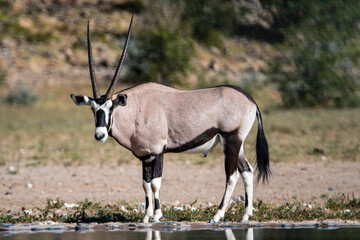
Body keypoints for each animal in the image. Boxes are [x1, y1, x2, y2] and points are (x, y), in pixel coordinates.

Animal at [70, 15, 268, 223]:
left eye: (110, 108)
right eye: (93, 109)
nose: (99, 135)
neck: (136, 109)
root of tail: (251, 101)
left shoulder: (158, 152)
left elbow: (155, 183)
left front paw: (157, 215)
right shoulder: (145, 156)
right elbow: (145, 183)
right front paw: (145, 217)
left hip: (231, 139)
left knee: (232, 175)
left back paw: (217, 215)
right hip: (236, 143)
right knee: (247, 171)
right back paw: (245, 215)